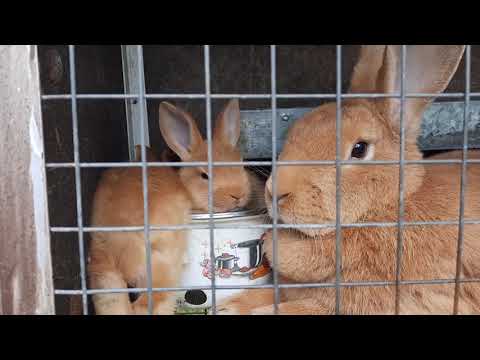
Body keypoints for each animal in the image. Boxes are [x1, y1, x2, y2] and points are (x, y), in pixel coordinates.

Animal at [88, 99, 264, 316]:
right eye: (204, 175)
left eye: (241, 165)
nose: (237, 194)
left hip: (105, 278)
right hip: (164, 268)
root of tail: (115, 251)